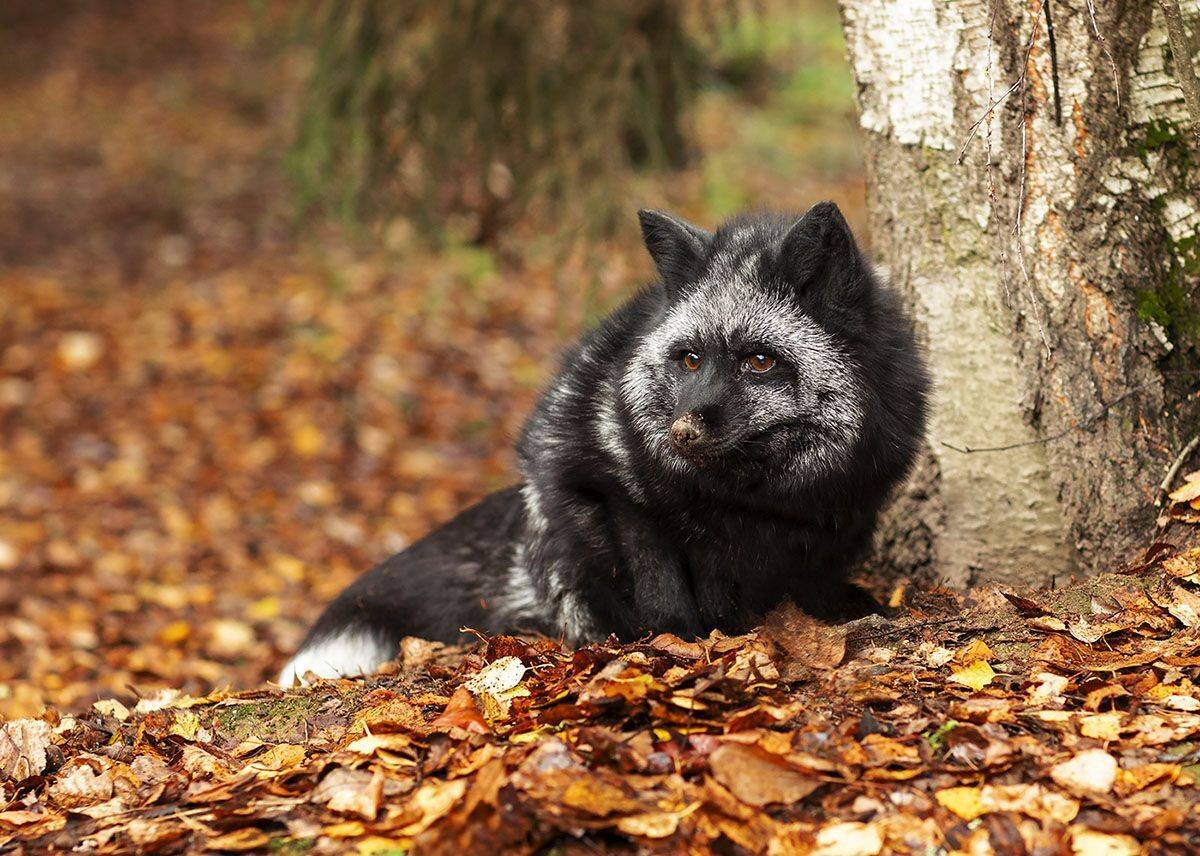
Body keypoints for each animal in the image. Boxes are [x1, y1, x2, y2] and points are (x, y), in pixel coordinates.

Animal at [279, 202, 929, 684]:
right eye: (690, 359)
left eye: (760, 362)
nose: (682, 429)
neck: (752, 503)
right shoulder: (614, 491)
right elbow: (664, 594)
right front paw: (675, 643)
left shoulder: (841, 516)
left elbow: (809, 584)